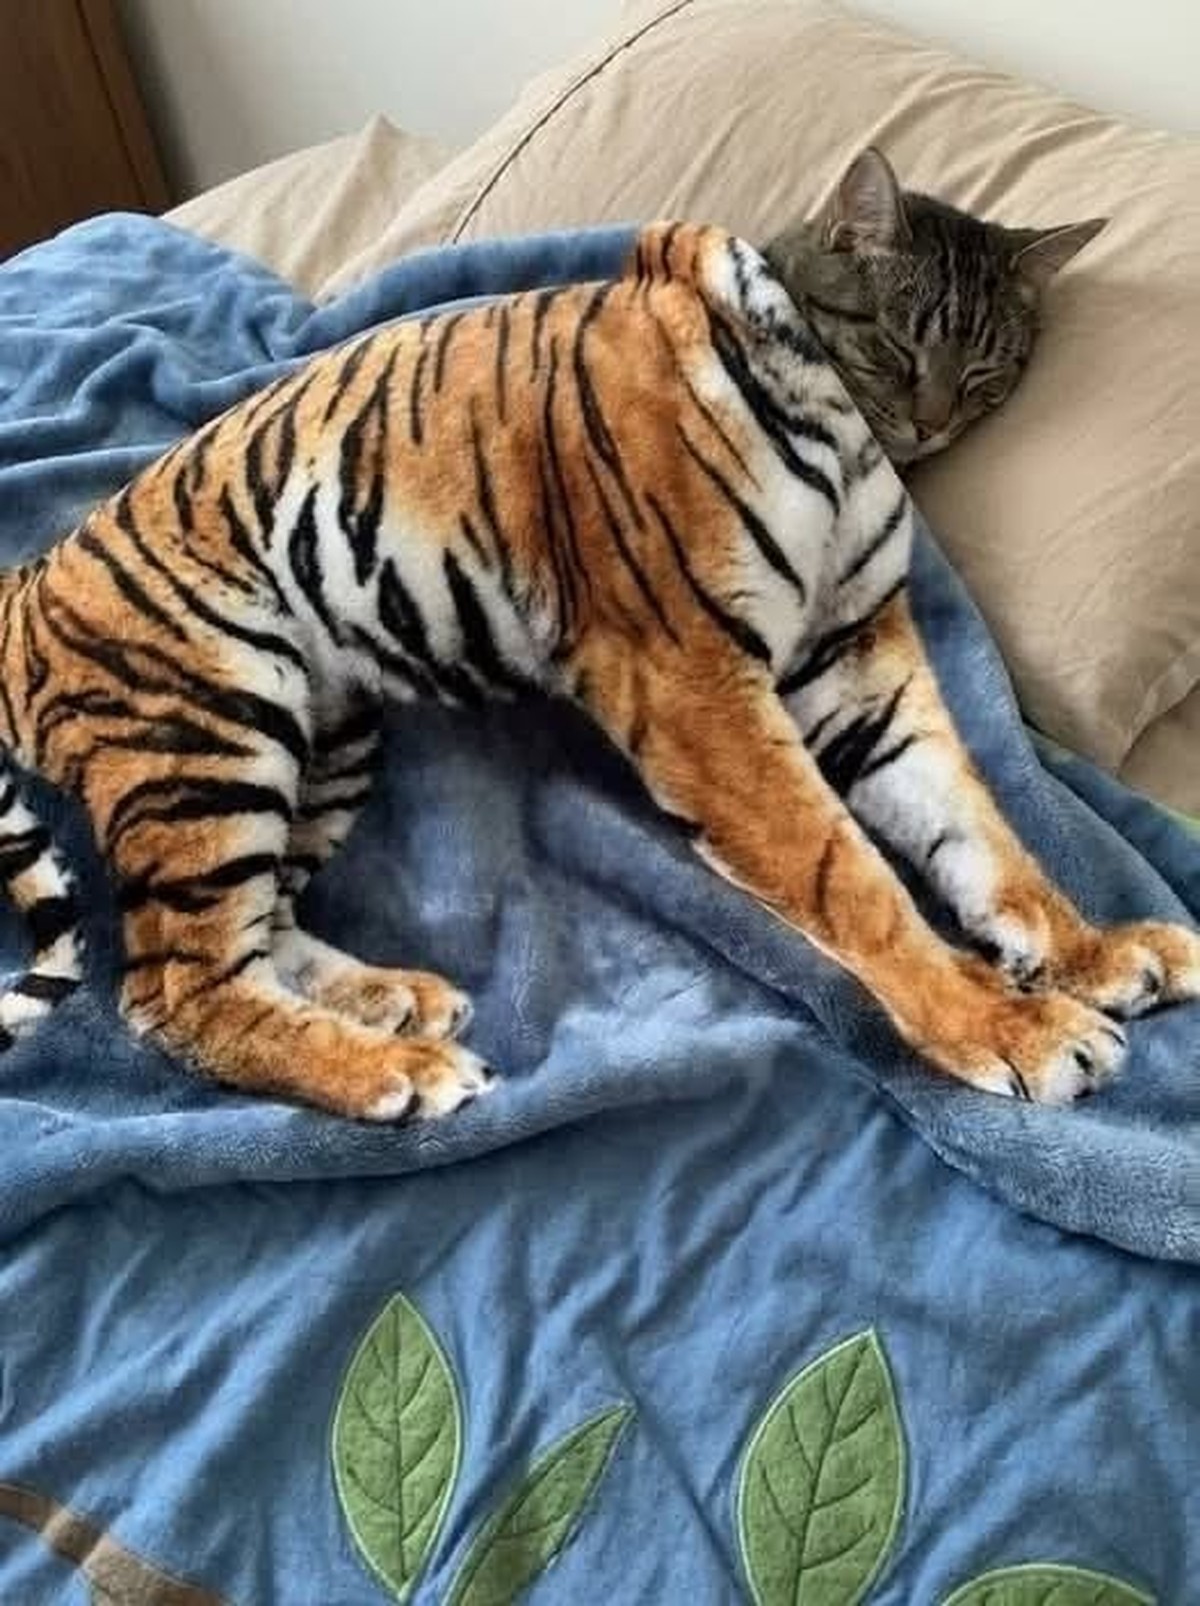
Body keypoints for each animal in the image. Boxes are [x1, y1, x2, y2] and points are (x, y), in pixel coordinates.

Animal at [0, 174, 1194, 1120]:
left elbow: (975, 826)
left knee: (258, 928)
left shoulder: (856, 655)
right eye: (900, 345)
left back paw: (396, 1003)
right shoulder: (695, 684)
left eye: (988, 373)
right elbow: (849, 874)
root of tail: (26, 583)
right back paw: (400, 1074)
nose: (935, 423)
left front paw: (1094, 954)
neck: (847, 441)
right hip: (208, 735)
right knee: (173, 992)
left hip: (323, 735)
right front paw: (1012, 1028)